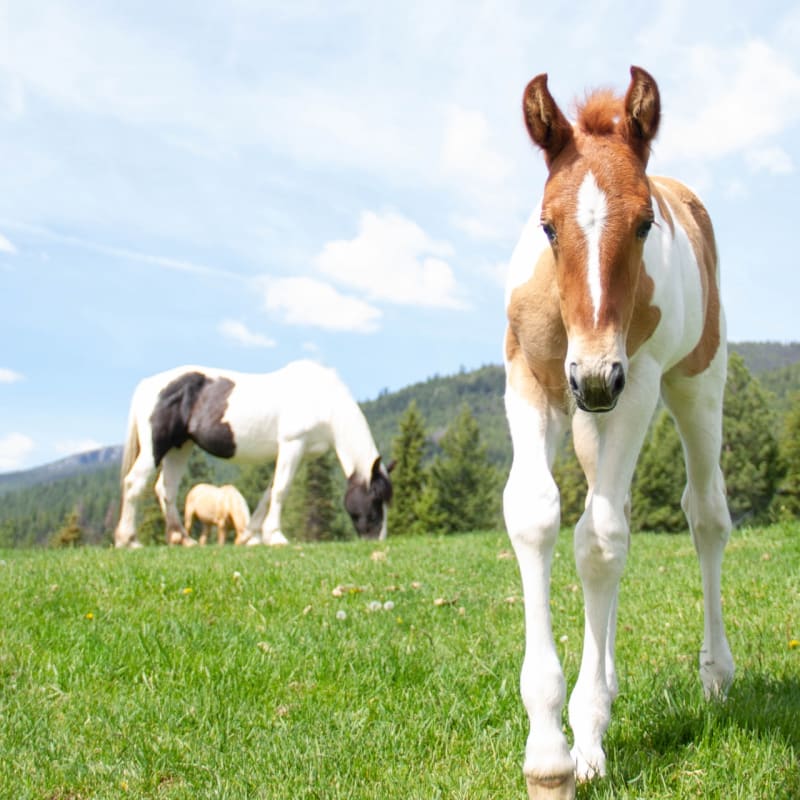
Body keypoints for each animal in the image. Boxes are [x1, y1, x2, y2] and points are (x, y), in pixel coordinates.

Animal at [114, 359, 393, 548]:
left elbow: (269, 494)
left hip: (180, 448)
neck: (323, 400)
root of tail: (148, 385)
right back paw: (128, 540)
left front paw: (252, 536)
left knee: (166, 489)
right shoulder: (292, 445)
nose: (377, 538)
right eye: (375, 498)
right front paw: (276, 536)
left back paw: (182, 539)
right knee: (134, 483)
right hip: (156, 447)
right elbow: (281, 491)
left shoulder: (297, 453)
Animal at [503, 67, 733, 799]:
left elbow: (601, 543)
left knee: (704, 516)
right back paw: (602, 679)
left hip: (695, 383)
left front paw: (579, 744)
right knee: (615, 513)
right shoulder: (532, 379)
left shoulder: (640, 383)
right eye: (547, 226)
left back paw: (715, 674)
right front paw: (550, 748)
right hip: (585, 422)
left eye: (643, 224)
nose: (598, 378)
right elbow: (538, 516)